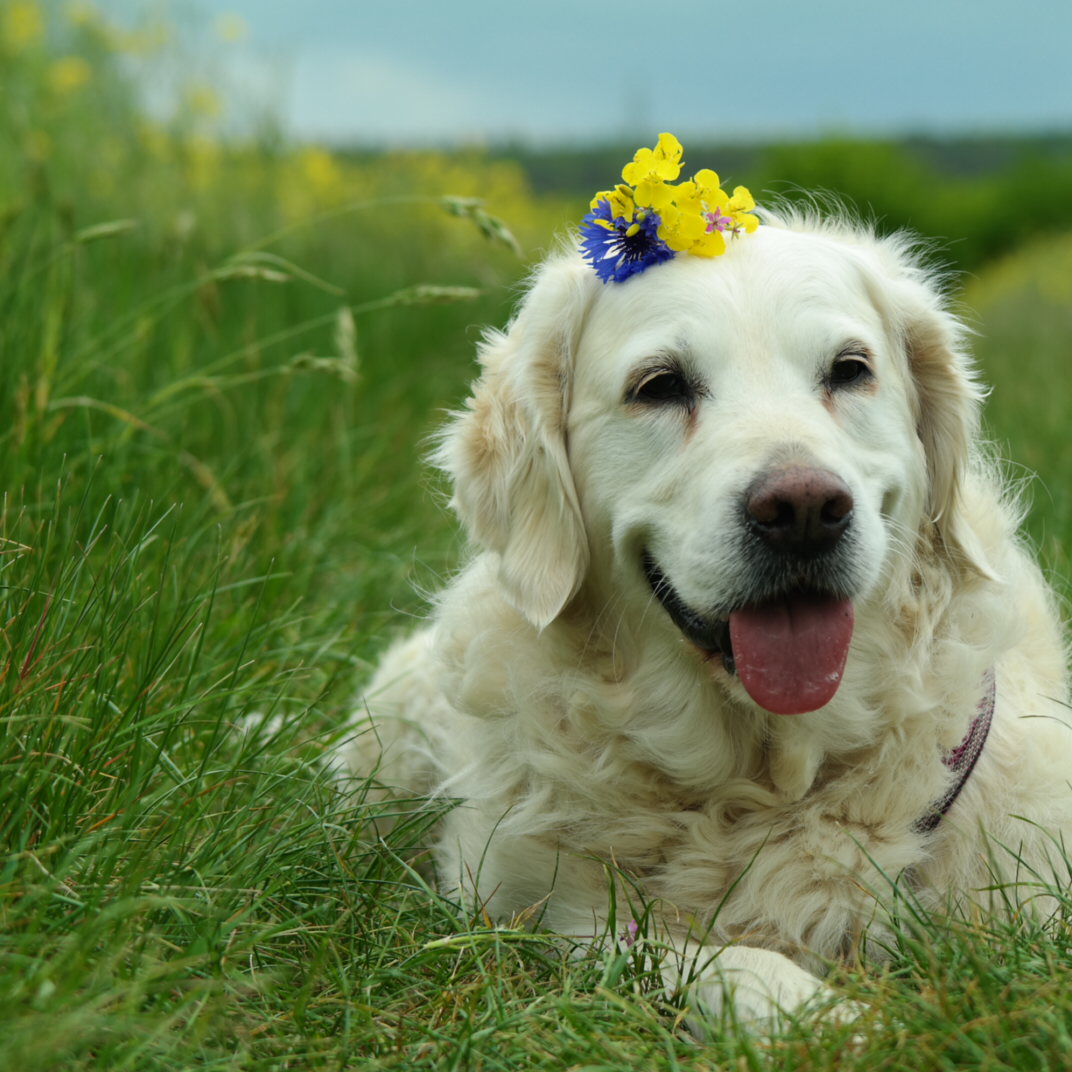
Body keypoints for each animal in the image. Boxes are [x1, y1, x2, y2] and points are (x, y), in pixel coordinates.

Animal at [343, 199, 1072, 1029]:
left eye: (850, 370)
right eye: (659, 385)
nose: (803, 510)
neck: (768, 784)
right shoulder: (532, 915)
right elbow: (715, 959)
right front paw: (838, 1023)